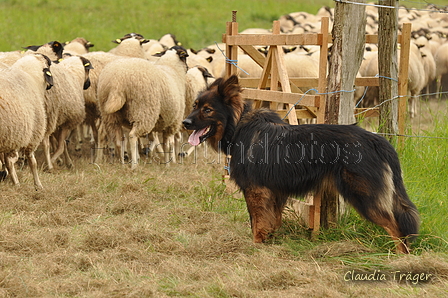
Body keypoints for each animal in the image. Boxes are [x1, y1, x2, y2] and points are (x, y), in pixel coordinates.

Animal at [0, 53, 53, 189]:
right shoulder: (33, 135)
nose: (51, 85)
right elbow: (32, 162)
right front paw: (38, 185)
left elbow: (9, 162)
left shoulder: (11, 137)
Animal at [182, 74, 420, 254]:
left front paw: (256, 244)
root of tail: (377, 140)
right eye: (194, 106)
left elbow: (257, 221)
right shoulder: (275, 191)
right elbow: (272, 219)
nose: (184, 122)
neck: (238, 125)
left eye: (207, 110)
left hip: (364, 195)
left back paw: (401, 256)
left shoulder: (256, 190)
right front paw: (270, 239)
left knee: (396, 225)